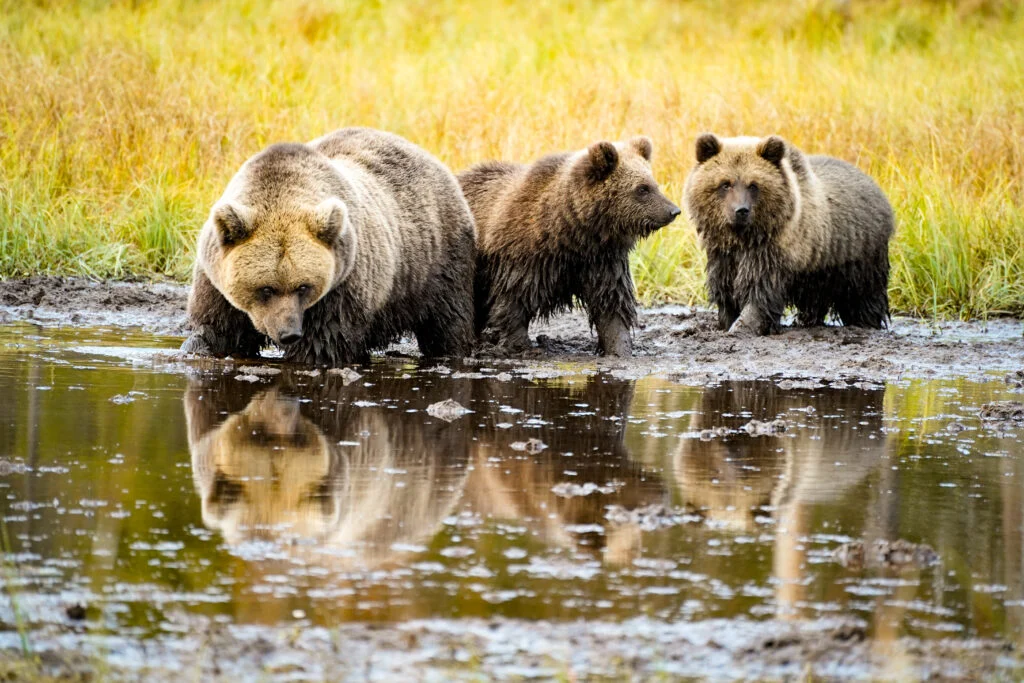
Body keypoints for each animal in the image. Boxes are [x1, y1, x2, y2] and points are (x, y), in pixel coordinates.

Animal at [180, 127, 477, 365]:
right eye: (266, 288)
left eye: (303, 286)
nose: (289, 333)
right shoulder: (215, 281)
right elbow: (217, 331)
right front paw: (202, 346)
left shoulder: (341, 286)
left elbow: (322, 345)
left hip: (436, 261)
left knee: (448, 321)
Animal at [458, 137, 681, 357]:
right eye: (642, 189)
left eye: (654, 184)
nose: (673, 211)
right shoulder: (524, 257)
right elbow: (514, 300)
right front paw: (518, 346)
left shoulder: (602, 262)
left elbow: (611, 306)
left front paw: (619, 349)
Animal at [683, 134, 894, 336]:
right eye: (725, 184)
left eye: (753, 185)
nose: (741, 210)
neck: (744, 238)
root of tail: (877, 188)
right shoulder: (723, 256)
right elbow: (726, 292)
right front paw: (726, 323)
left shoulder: (771, 253)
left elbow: (759, 293)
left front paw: (741, 327)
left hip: (858, 257)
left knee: (863, 297)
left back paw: (864, 323)